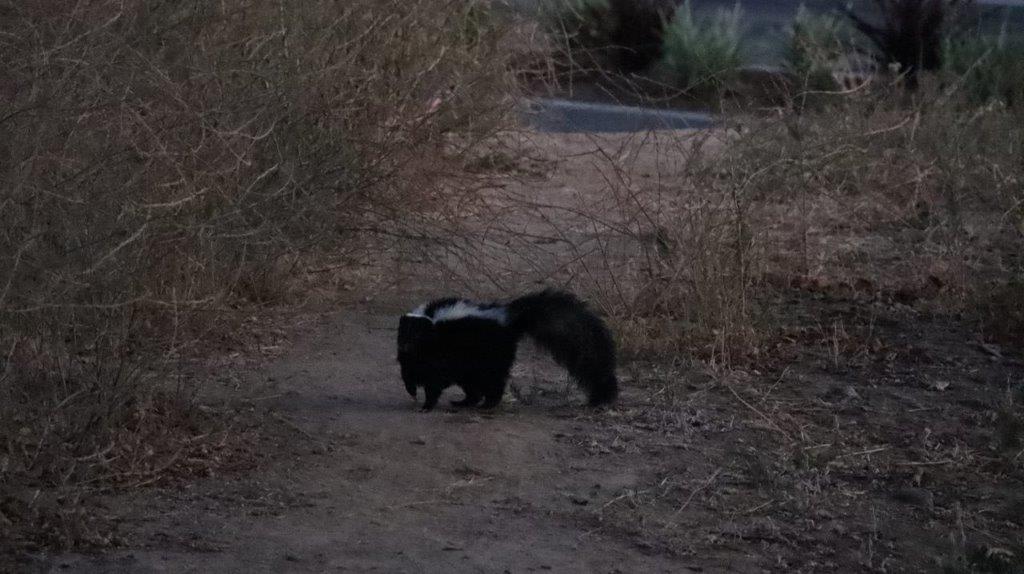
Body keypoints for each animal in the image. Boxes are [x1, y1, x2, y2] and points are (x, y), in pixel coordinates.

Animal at [393, 288, 614, 409]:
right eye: (403, 334)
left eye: (417, 335)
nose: (405, 345)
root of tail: (509, 318)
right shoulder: (413, 358)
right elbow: (408, 372)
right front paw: (412, 391)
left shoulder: (438, 354)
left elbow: (434, 382)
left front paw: (426, 405)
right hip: (471, 366)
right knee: (473, 387)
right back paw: (465, 402)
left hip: (489, 355)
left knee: (494, 381)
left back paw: (488, 403)